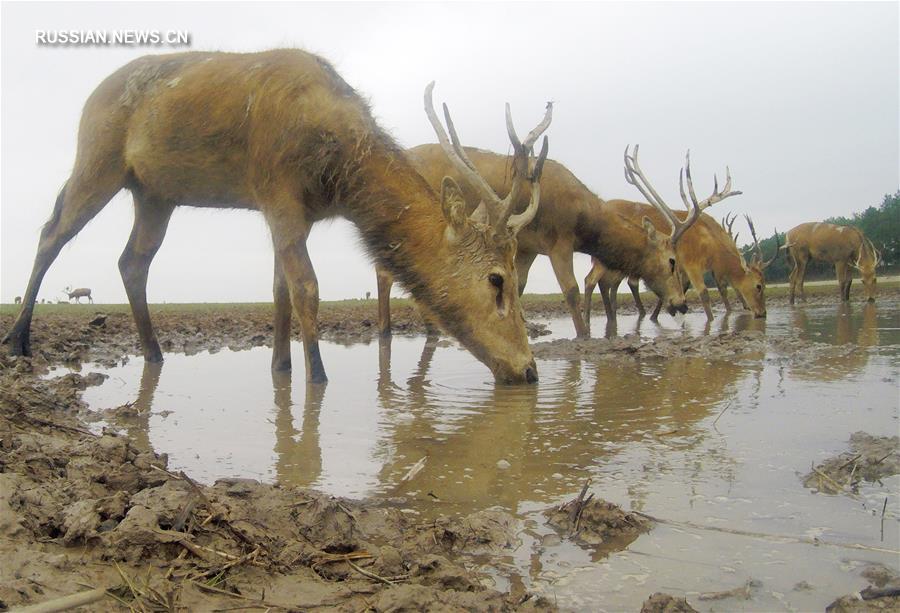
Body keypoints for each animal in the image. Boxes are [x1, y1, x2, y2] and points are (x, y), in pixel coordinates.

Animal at [3, 49, 552, 382]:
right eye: (497, 279)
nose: (528, 369)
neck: (336, 176)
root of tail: (89, 97)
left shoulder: (294, 213)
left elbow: (279, 290)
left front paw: (281, 368)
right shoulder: (278, 193)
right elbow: (307, 287)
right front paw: (318, 376)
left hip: (155, 193)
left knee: (131, 261)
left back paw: (154, 352)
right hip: (98, 158)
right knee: (51, 233)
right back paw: (18, 340)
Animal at [372, 144, 712, 340]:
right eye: (672, 261)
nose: (681, 304)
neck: (584, 222)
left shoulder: (527, 247)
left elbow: (518, 286)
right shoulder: (559, 240)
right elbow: (571, 290)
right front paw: (584, 336)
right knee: (389, 271)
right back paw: (397, 329)